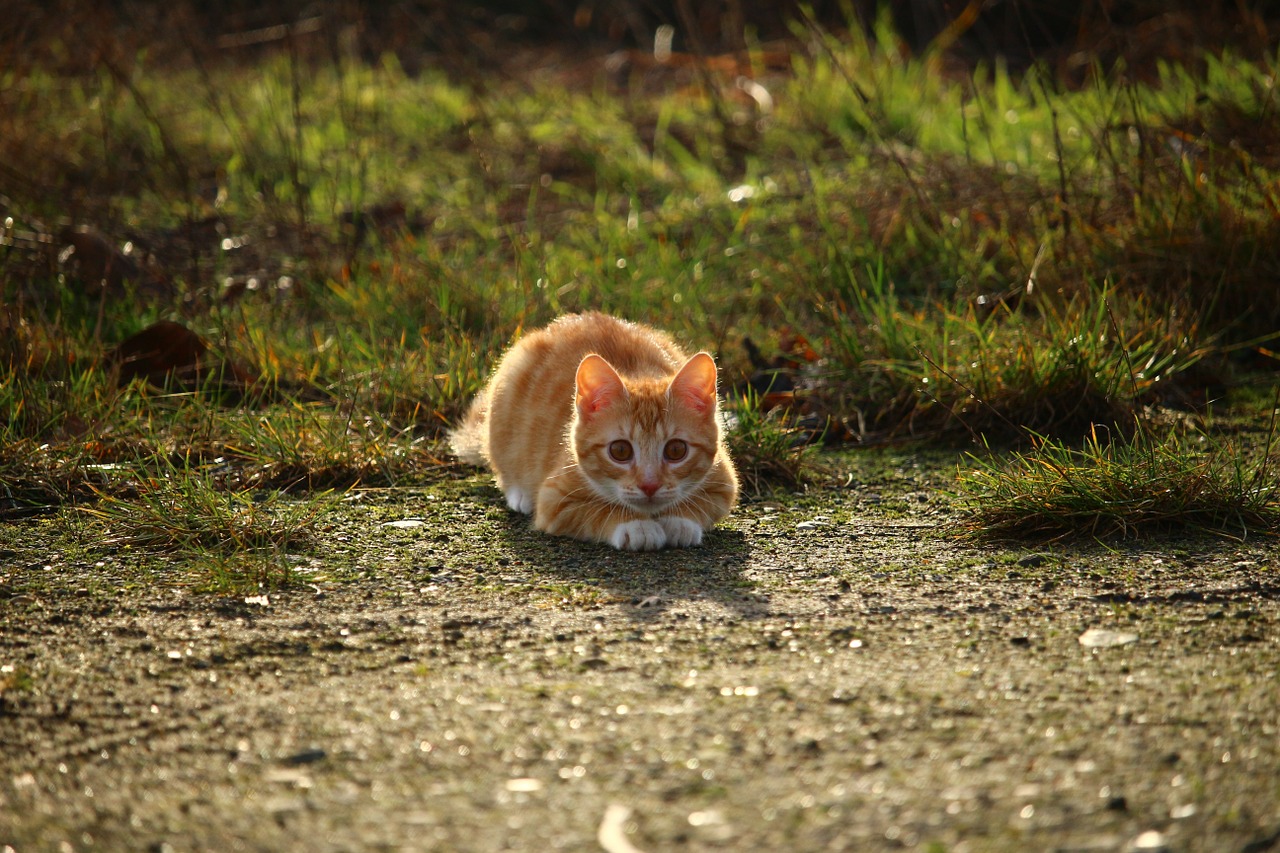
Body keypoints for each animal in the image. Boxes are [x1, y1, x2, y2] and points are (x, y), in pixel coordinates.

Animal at [453, 312, 742, 550]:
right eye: (620, 450)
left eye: (676, 450)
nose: (649, 485)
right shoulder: (554, 501)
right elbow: (598, 511)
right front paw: (636, 526)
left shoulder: (724, 484)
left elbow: (704, 504)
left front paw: (680, 521)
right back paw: (521, 493)